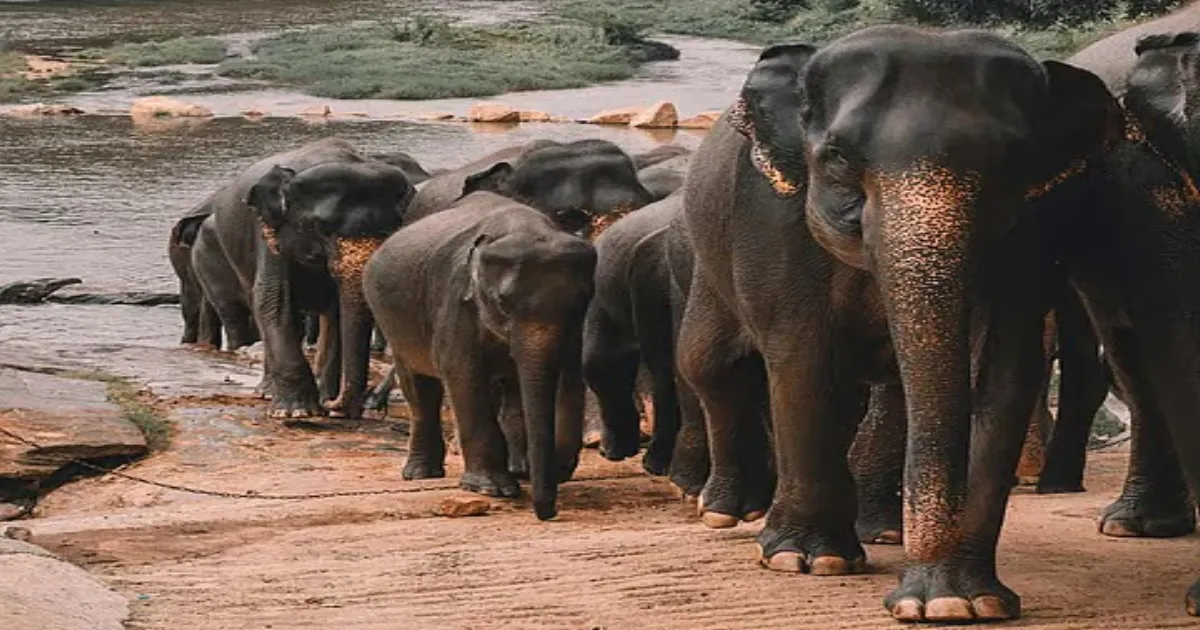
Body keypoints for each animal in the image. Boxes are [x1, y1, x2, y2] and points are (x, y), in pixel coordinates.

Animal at [188, 137, 413, 419]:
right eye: (321, 228)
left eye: (393, 227)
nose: (333, 405)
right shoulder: (268, 232)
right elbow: (272, 300)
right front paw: (296, 413)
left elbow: (337, 312)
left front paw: (327, 406)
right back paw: (268, 393)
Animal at [363, 190, 596, 521]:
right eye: (502, 301)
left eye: (583, 298)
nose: (548, 513)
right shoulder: (456, 301)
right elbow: (462, 373)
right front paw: (492, 489)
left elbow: (568, 373)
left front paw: (540, 472)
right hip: (392, 320)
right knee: (419, 386)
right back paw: (421, 474)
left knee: (511, 387)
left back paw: (518, 469)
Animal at [675, 27, 1121, 623]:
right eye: (836, 157)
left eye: (1012, 163)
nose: (914, 598)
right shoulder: (769, 218)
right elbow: (802, 358)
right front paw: (809, 561)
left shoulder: (1037, 227)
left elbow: (1006, 371)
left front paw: (961, 602)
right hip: (708, 258)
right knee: (712, 366)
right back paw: (729, 512)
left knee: (884, 392)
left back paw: (880, 531)